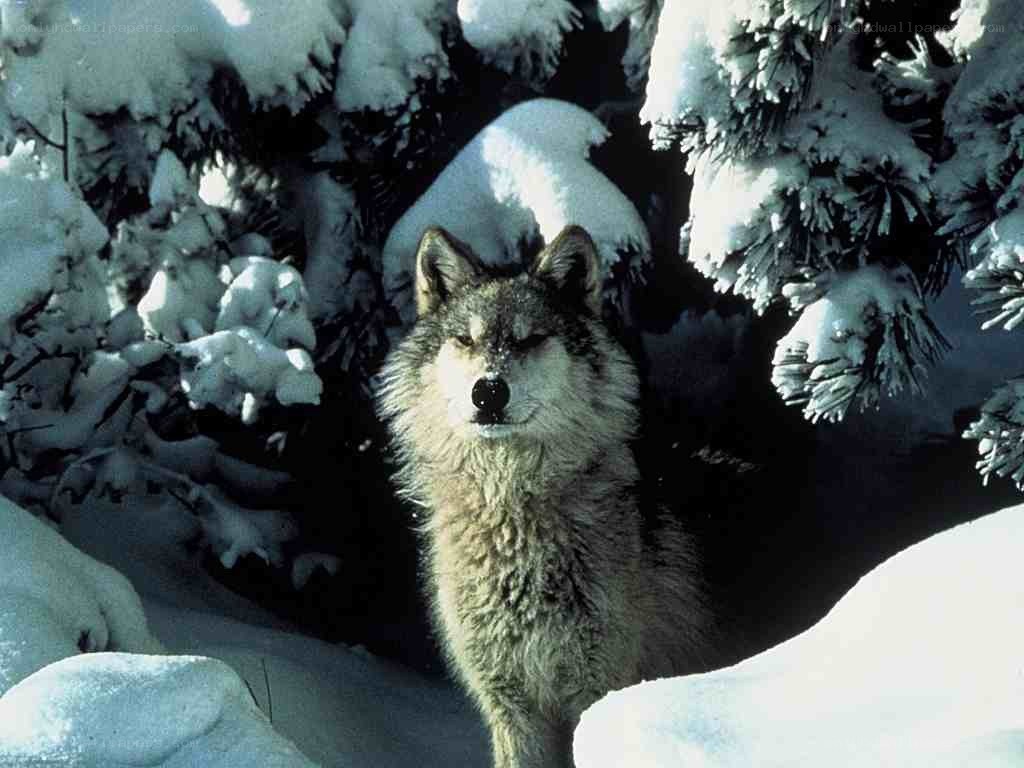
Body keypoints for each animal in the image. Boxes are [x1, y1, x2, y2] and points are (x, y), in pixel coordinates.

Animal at [377, 224, 710, 768]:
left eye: (530, 339)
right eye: (465, 340)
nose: (488, 391)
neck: (512, 515)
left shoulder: (597, 690)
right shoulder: (510, 706)